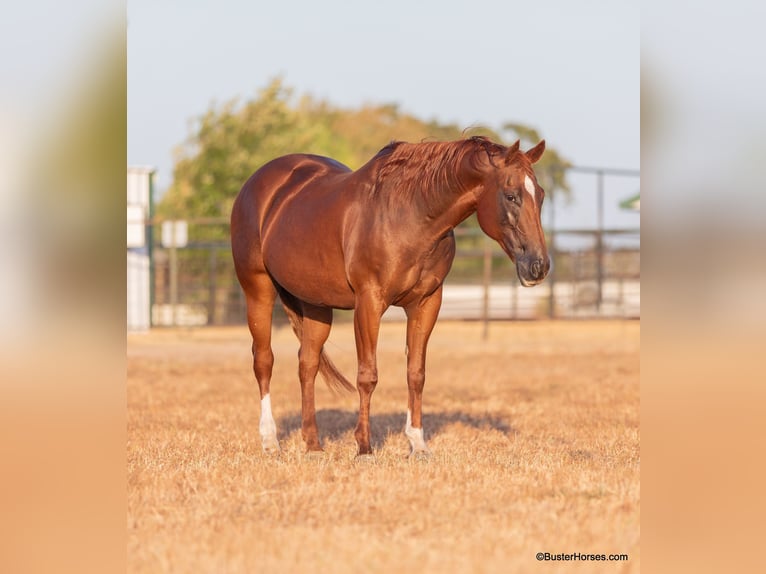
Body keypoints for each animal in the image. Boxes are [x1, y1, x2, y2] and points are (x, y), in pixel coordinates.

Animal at [231, 137, 548, 462]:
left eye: (541, 196)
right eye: (511, 196)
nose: (538, 266)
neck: (412, 216)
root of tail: (259, 183)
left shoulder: (426, 304)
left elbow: (416, 374)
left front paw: (418, 445)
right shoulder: (369, 303)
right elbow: (367, 375)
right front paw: (364, 447)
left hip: (315, 305)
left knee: (307, 364)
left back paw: (313, 445)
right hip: (258, 289)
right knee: (264, 361)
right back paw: (270, 441)